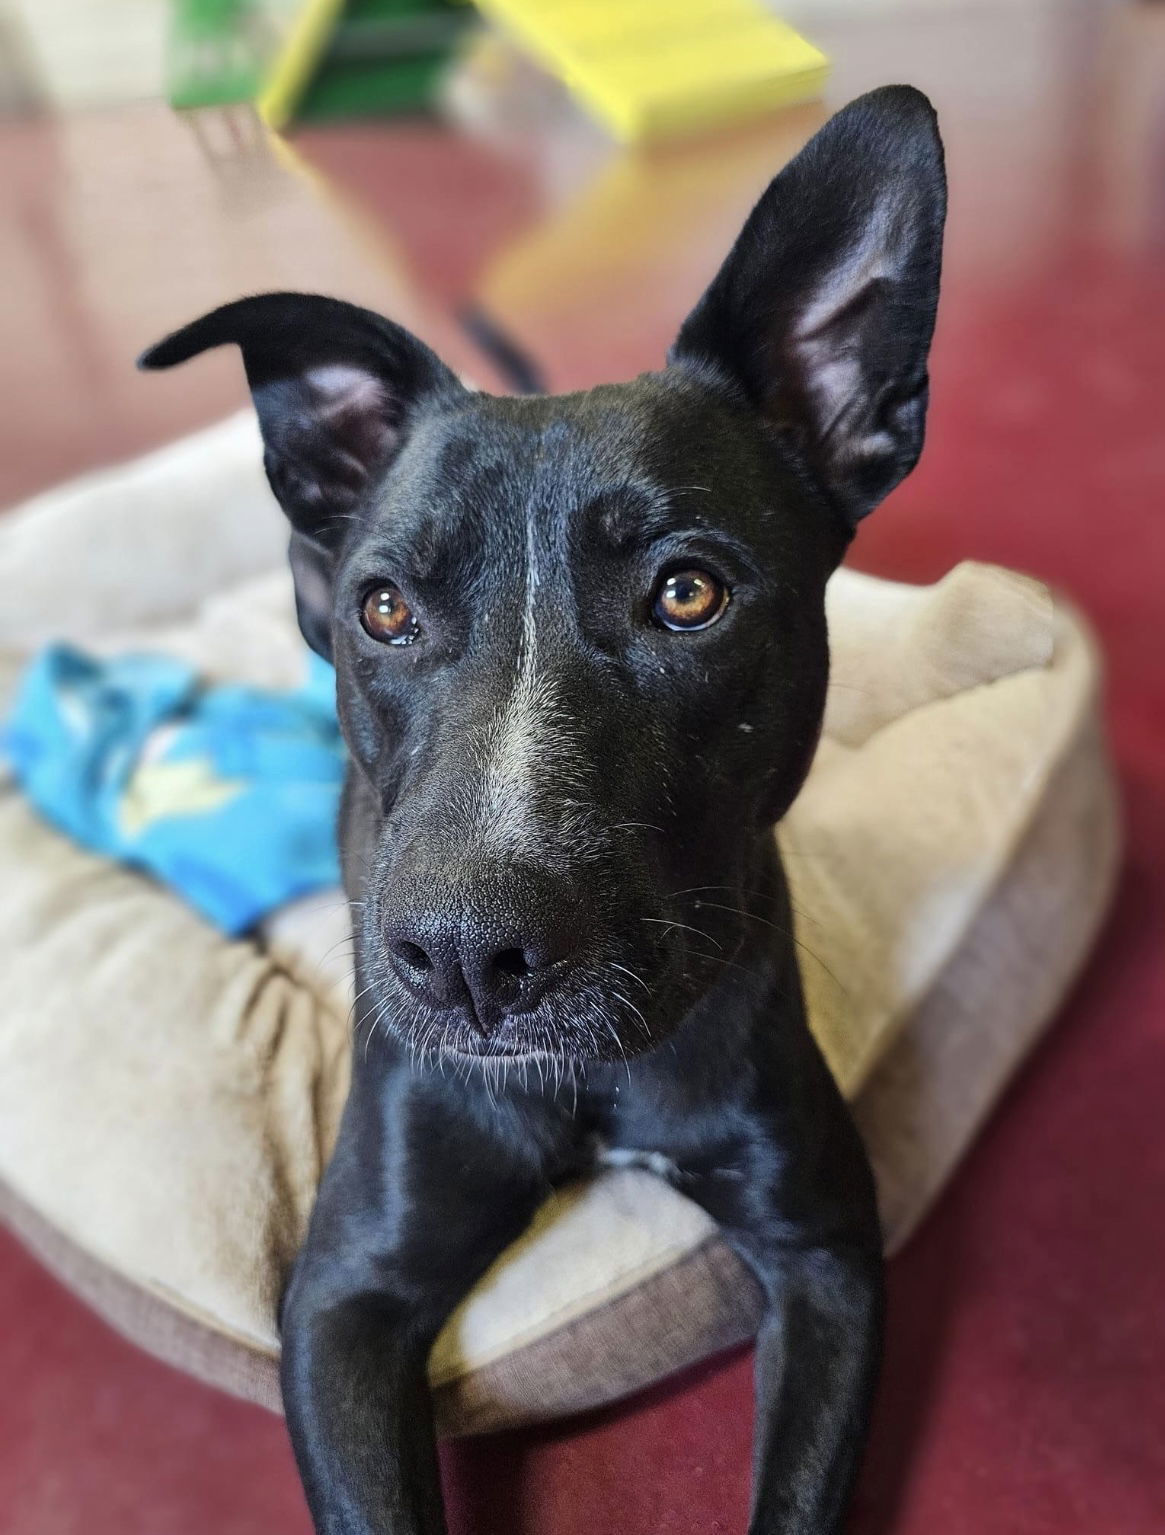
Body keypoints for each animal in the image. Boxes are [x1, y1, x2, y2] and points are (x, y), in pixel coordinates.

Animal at [143, 87, 945, 1535]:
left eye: (688, 593)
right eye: (385, 608)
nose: (468, 956)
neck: (594, 1083)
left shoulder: (827, 1248)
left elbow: (799, 1491)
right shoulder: (346, 1291)